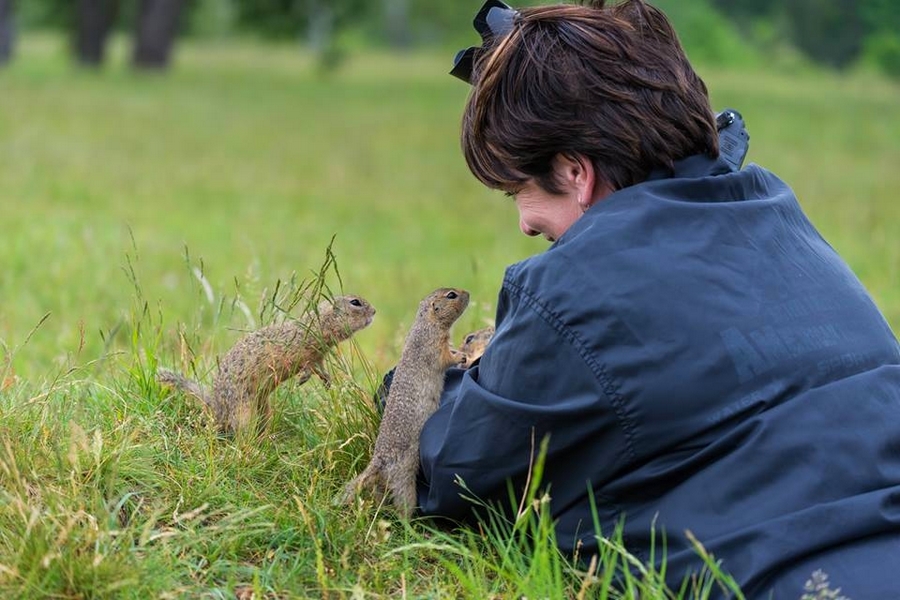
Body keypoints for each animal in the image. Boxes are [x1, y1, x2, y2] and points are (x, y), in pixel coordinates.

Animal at [156, 294, 374, 432]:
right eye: (355, 302)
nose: (374, 311)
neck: (316, 326)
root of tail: (217, 408)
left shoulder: (318, 356)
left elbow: (320, 368)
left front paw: (327, 381)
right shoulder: (301, 352)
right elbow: (306, 366)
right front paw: (304, 378)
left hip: (263, 408)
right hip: (243, 410)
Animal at [340, 286, 472, 516]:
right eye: (451, 295)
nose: (469, 294)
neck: (426, 323)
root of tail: (378, 461)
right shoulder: (433, 346)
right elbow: (445, 358)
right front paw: (461, 357)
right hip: (403, 479)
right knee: (403, 506)